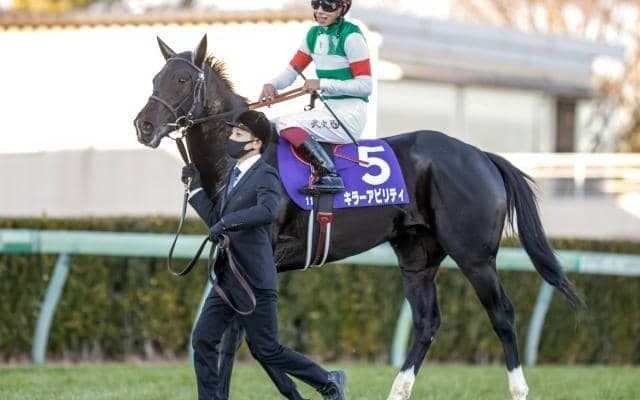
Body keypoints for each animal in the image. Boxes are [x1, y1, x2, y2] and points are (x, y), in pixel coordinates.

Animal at [133, 35, 584, 400]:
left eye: (182, 81)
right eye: (156, 78)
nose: (144, 126)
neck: (242, 159)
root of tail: (480, 155)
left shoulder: (262, 261)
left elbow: (246, 344)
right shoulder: (237, 263)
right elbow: (237, 342)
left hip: (474, 256)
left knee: (502, 314)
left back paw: (518, 389)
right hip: (417, 257)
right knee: (427, 322)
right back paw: (398, 391)